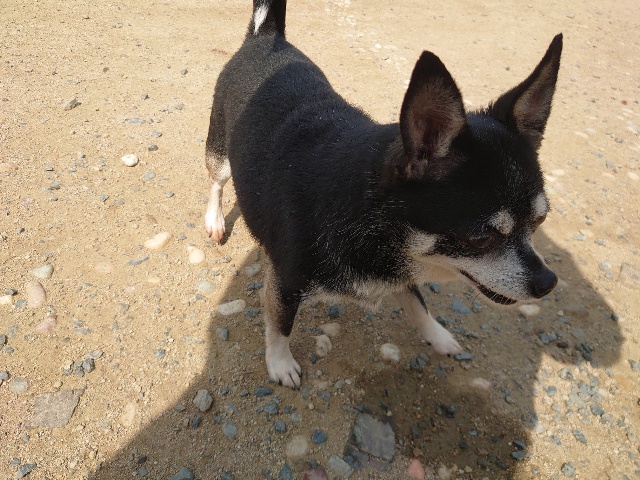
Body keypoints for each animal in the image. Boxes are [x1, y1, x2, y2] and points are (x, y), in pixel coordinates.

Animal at [205, 0, 561, 388]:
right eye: (481, 238)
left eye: (539, 222)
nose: (548, 283)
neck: (368, 213)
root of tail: (267, 36)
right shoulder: (284, 284)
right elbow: (280, 325)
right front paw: (280, 362)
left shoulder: (399, 270)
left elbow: (418, 302)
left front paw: (437, 335)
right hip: (220, 154)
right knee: (216, 182)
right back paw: (214, 220)